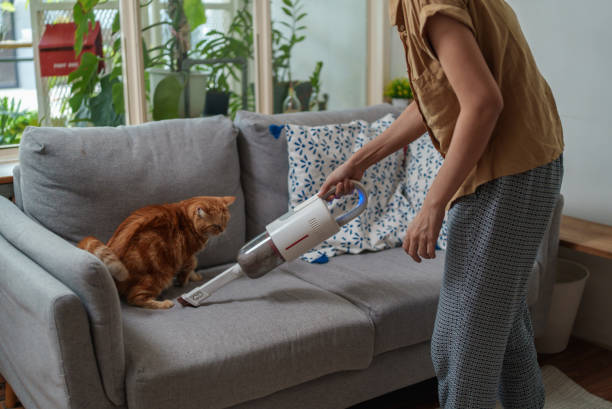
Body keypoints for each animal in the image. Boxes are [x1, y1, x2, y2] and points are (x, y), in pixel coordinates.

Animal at [77, 196, 235, 308]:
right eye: (215, 225)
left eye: (226, 221)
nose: (223, 230)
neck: (186, 219)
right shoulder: (187, 255)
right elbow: (190, 265)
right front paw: (186, 281)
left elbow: (191, 267)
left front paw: (193, 277)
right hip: (158, 277)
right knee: (135, 299)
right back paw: (164, 303)